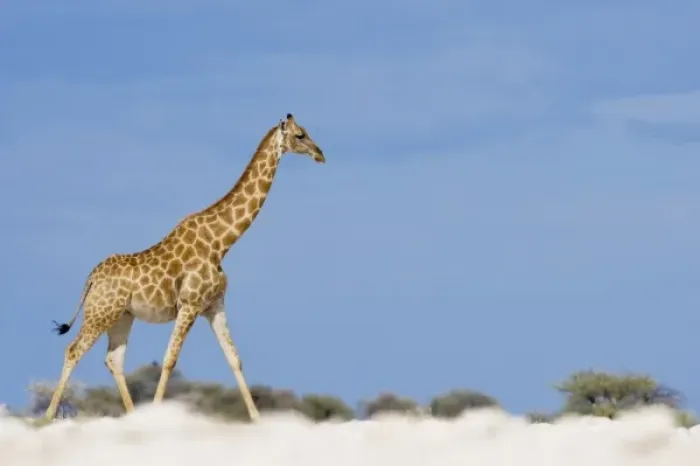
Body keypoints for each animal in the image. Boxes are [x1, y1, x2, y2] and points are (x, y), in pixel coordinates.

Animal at [44, 113, 325, 422]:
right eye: (300, 135)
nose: (319, 154)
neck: (221, 243)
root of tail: (91, 278)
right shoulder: (189, 304)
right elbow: (169, 359)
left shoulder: (214, 305)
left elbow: (234, 359)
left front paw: (257, 419)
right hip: (100, 312)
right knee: (73, 350)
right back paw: (48, 416)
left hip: (122, 316)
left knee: (113, 359)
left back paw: (131, 416)